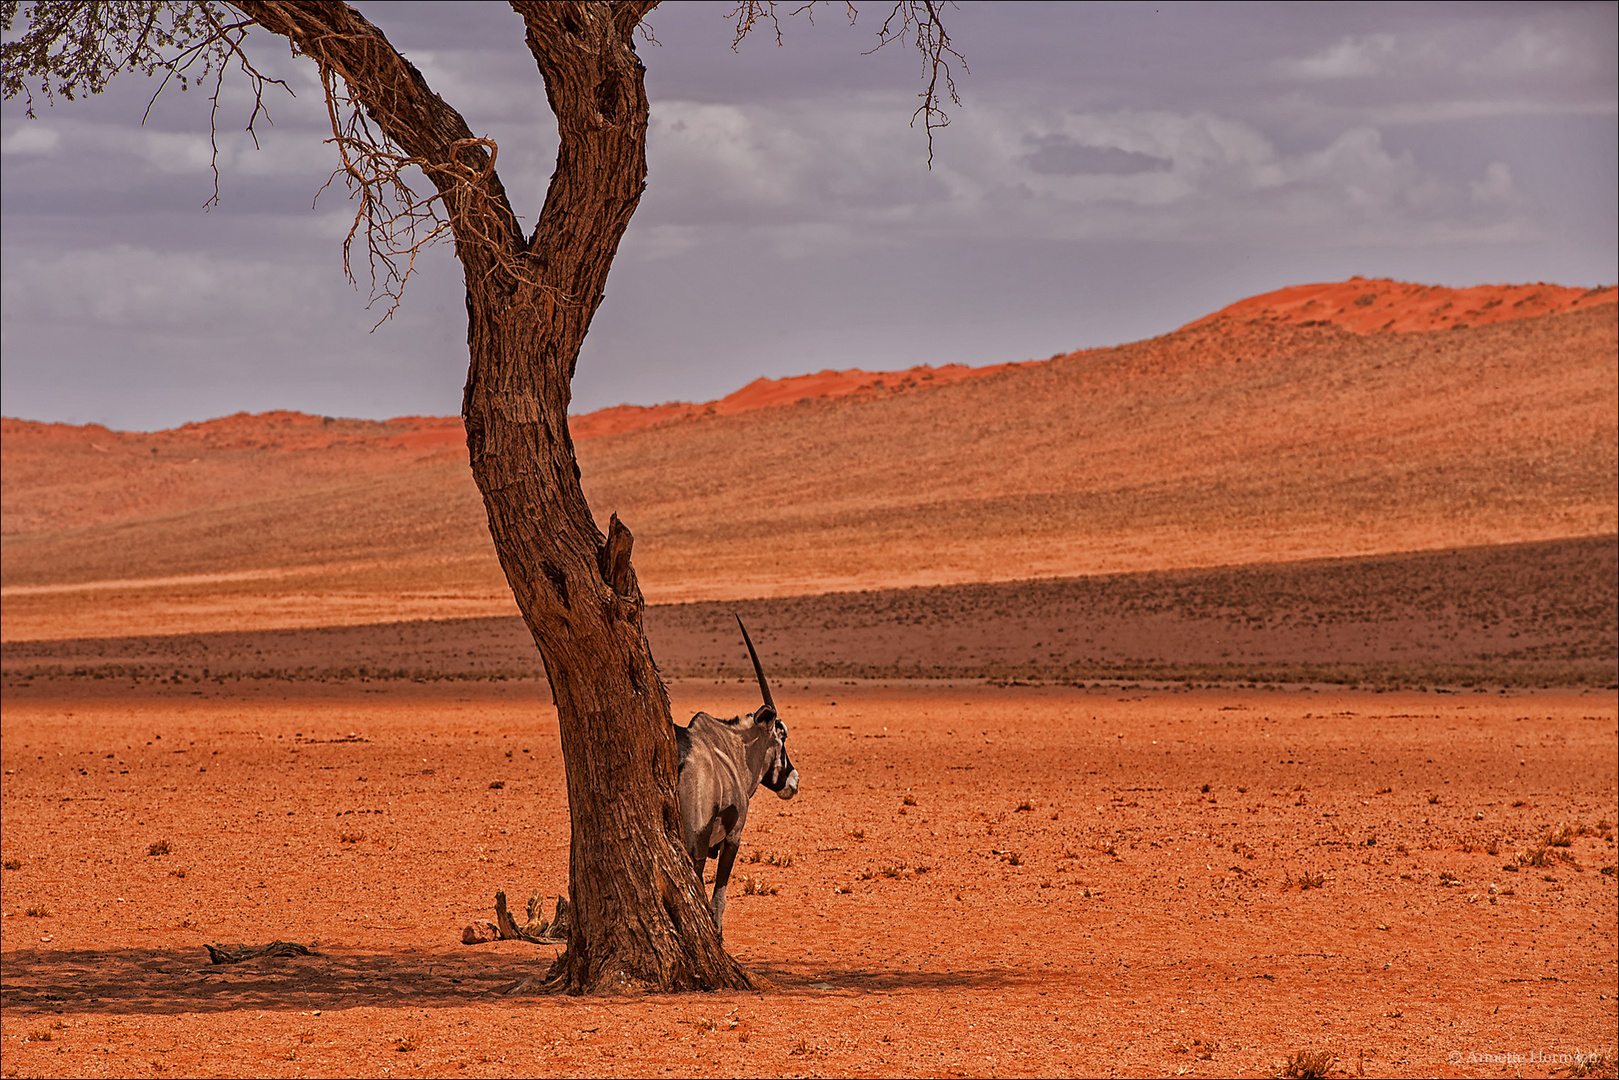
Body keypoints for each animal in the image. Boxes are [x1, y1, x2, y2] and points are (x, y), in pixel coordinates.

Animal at [670, 615, 796, 939]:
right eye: (782, 737)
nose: (794, 781)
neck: (732, 748)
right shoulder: (732, 837)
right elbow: (718, 897)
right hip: (696, 840)